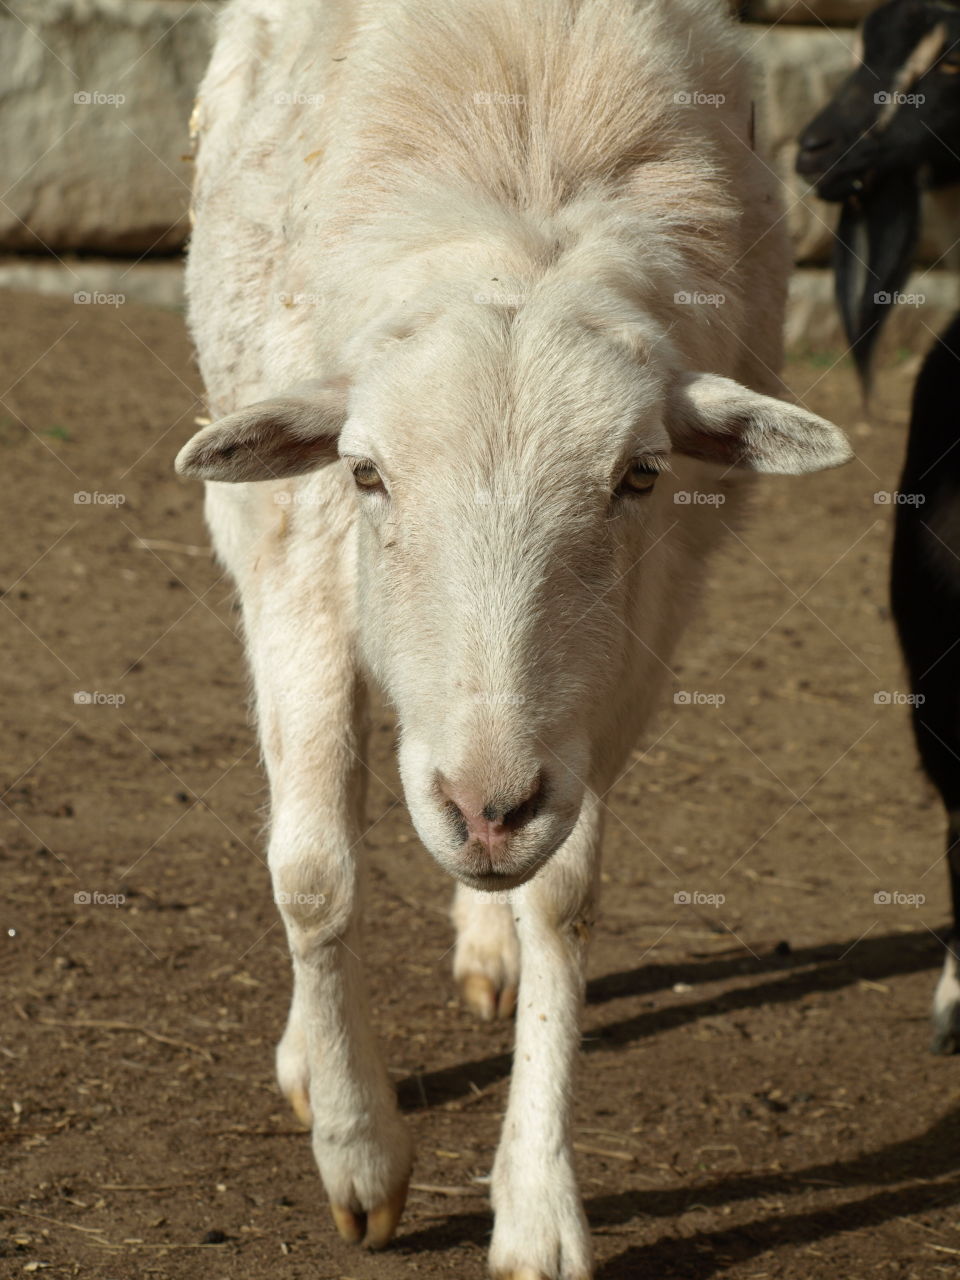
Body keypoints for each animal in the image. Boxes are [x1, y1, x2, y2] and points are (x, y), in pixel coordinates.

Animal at [176, 2, 850, 1275]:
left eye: (639, 475)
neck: (516, 191)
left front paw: (536, 1202)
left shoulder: (640, 628)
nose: (490, 805)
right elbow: (313, 872)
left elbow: (563, 901)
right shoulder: (292, 545)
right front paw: (359, 1151)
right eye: (366, 471)